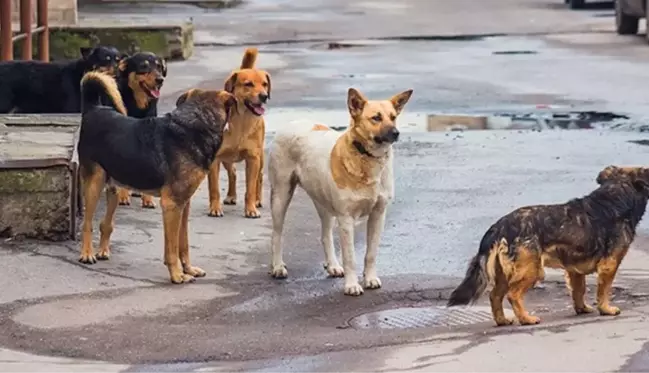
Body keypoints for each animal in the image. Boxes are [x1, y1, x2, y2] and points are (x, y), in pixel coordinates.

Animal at [112, 51, 168, 209]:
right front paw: (123, 196)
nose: (160, 80)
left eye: (159, 67)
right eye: (143, 66)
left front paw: (147, 199)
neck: (139, 106)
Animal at [175, 47, 268, 217]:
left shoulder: (253, 158)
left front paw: (251, 208)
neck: (241, 122)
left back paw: (258, 200)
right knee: (233, 173)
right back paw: (231, 196)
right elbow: (214, 188)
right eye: (248, 84)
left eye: (264, 84)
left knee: (259, 176)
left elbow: (250, 188)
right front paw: (215, 208)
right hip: (227, 159)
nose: (264, 96)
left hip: (260, 157)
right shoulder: (215, 160)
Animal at [266, 86, 412, 294]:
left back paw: (333, 265)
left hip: (324, 204)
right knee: (277, 234)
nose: (396, 133)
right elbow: (350, 257)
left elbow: (371, 253)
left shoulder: (378, 215)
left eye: (393, 117)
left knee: (325, 235)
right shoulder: (346, 219)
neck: (366, 157)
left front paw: (370, 279)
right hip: (281, 195)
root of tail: (292, 123)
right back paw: (277, 266)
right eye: (376, 118)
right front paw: (352, 285)